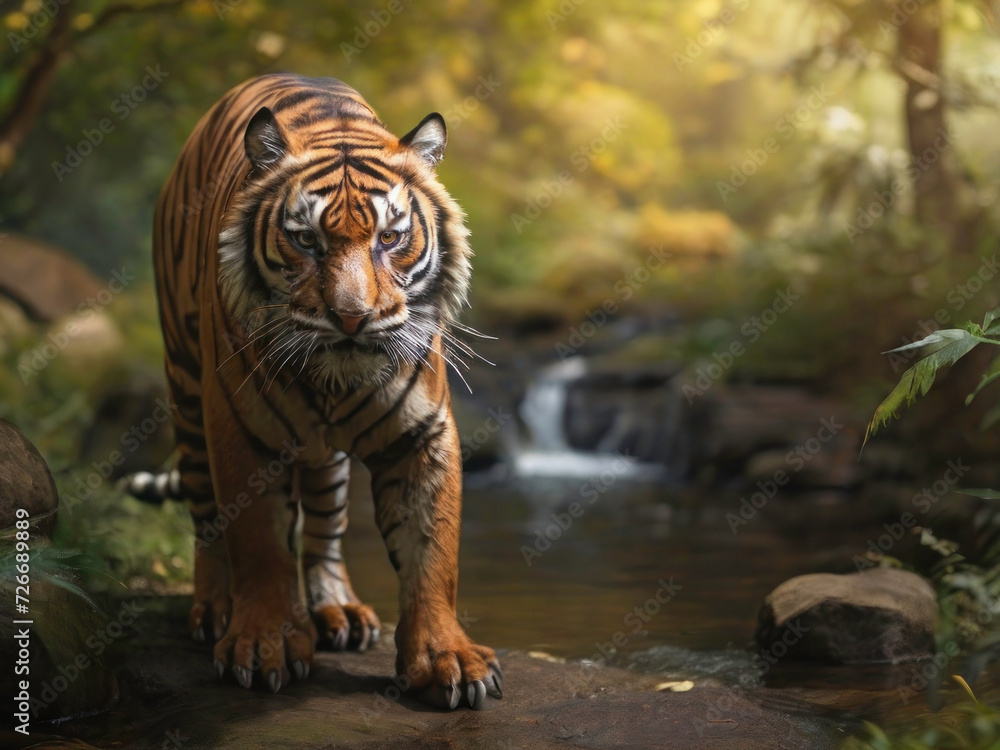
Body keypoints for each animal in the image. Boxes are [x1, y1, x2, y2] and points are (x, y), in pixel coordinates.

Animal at [129, 73, 501, 710]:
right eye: (304, 241)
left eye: (391, 237)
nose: (352, 317)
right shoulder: (239, 428)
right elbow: (258, 539)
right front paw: (263, 646)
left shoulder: (422, 434)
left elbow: (433, 552)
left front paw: (445, 658)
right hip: (187, 393)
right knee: (206, 519)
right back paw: (214, 608)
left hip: (323, 459)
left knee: (325, 529)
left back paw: (339, 611)